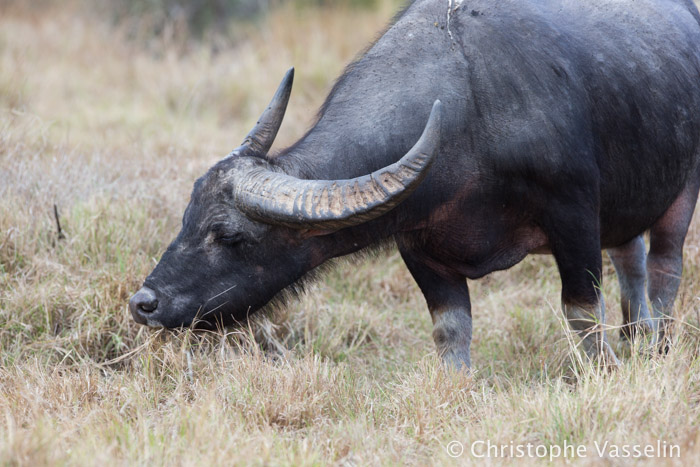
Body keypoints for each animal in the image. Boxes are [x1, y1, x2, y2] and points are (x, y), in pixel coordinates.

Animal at [129, 0, 700, 370]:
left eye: (230, 236)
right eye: (186, 217)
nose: (144, 303)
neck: (471, 113)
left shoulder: (574, 217)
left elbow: (581, 313)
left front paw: (602, 372)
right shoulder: (419, 246)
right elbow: (450, 328)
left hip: (681, 193)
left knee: (665, 267)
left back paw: (657, 346)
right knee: (631, 260)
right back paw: (637, 335)